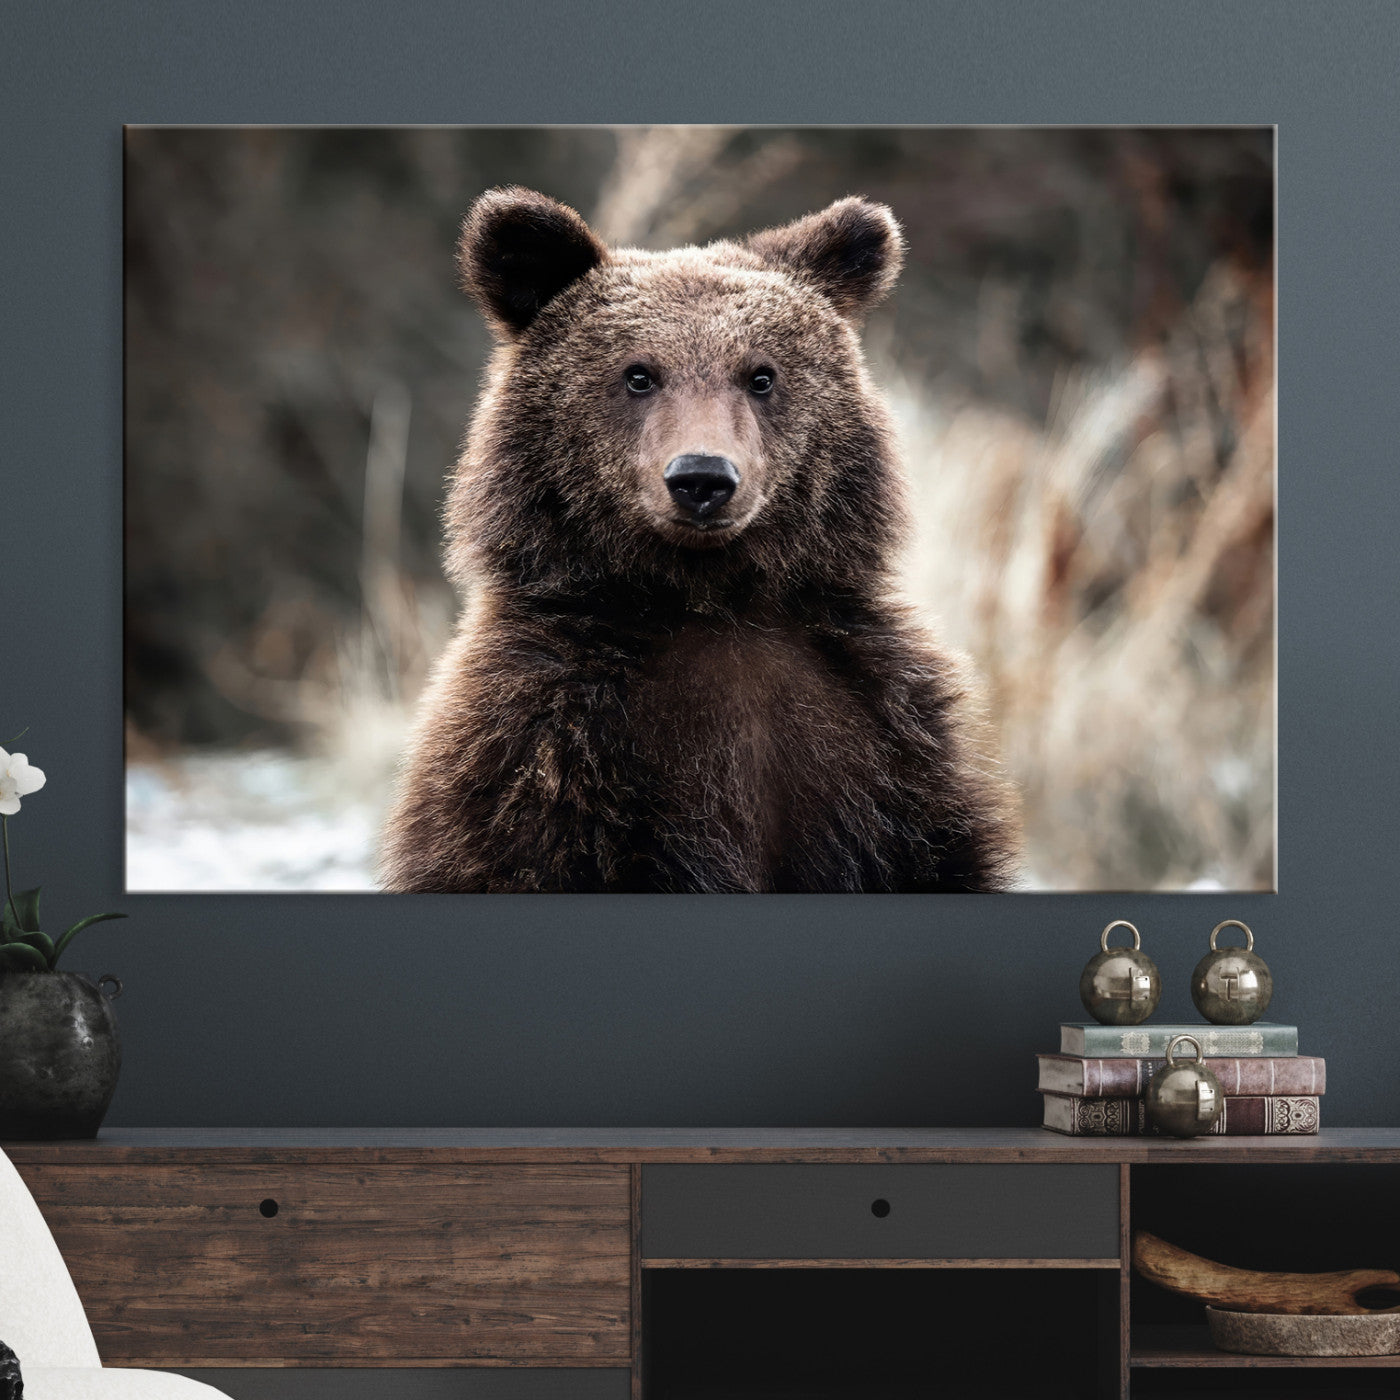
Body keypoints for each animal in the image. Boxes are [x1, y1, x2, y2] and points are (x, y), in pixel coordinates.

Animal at [379, 187, 1018, 892]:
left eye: (761, 375)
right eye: (638, 374)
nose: (702, 478)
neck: (709, 600)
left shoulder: (884, 744)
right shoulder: (544, 751)